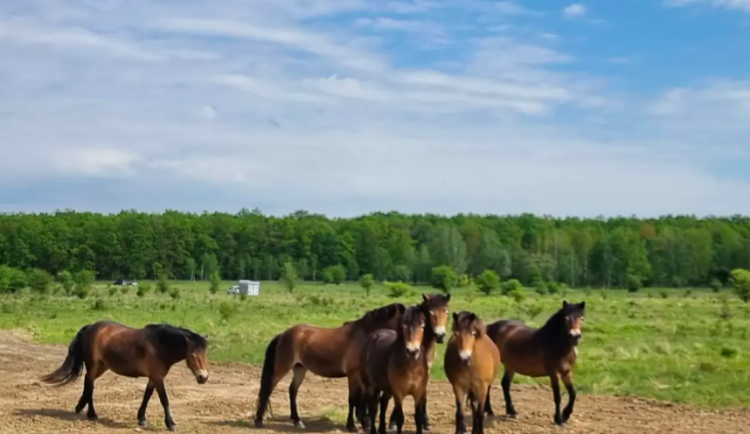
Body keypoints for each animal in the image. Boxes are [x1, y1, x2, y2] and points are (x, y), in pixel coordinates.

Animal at [41, 318, 212, 430]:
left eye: (205, 353)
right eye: (192, 355)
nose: (203, 377)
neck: (159, 346)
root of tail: (90, 327)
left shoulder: (153, 377)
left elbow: (147, 397)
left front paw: (141, 419)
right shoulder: (158, 378)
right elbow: (164, 400)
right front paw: (170, 424)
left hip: (102, 366)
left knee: (87, 384)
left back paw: (80, 407)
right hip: (94, 365)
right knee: (90, 385)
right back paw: (92, 413)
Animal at [254, 302, 408, 430]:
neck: (364, 337)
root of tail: (283, 334)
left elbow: (362, 400)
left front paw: (365, 423)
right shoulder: (353, 375)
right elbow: (353, 399)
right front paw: (351, 426)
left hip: (300, 368)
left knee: (293, 391)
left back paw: (297, 421)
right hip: (282, 368)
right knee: (268, 389)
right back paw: (259, 421)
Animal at [362, 304, 432, 434]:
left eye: (422, 326)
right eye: (403, 326)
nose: (412, 351)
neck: (411, 366)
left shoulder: (418, 392)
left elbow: (418, 418)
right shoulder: (398, 393)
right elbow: (400, 418)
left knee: (383, 403)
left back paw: (382, 430)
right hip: (370, 385)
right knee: (373, 407)